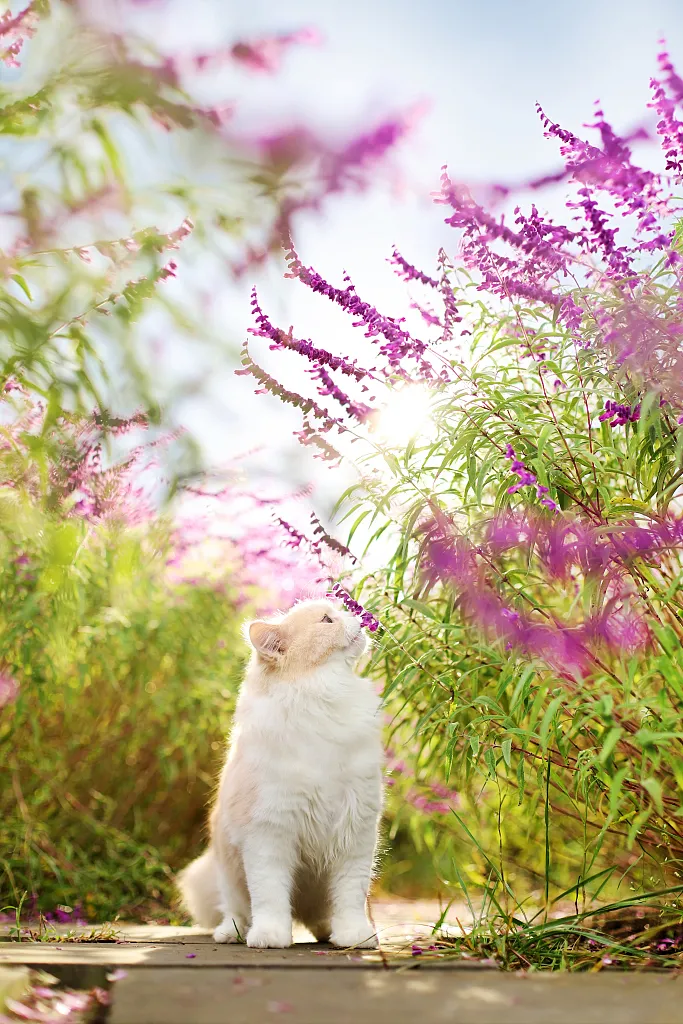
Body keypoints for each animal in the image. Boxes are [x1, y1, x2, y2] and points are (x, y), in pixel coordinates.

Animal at [178, 598, 385, 946]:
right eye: (327, 620)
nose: (359, 615)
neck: (324, 698)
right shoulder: (268, 834)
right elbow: (270, 897)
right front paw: (270, 936)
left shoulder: (355, 832)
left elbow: (350, 898)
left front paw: (355, 936)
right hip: (225, 870)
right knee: (235, 910)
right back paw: (231, 933)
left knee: (319, 917)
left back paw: (326, 932)